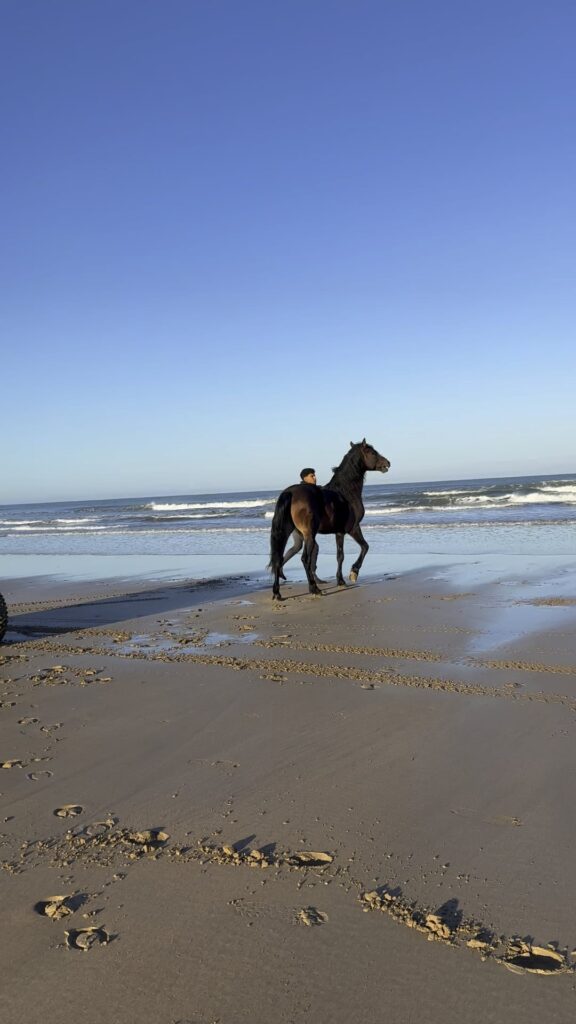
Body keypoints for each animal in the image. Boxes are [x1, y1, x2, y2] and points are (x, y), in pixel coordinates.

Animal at [266, 440, 387, 598]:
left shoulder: (339, 532)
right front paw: (353, 573)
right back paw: (314, 589)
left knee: (278, 558)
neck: (345, 492)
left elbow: (340, 556)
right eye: (373, 452)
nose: (387, 463)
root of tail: (290, 492)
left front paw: (341, 580)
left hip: (287, 532)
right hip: (309, 535)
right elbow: (364, 547)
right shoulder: (352, 528)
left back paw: (277, 593)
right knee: (305, 559)